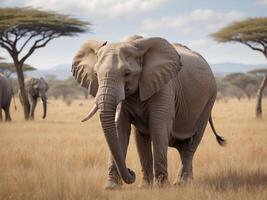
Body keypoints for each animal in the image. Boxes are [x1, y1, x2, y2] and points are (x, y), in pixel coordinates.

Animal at [71, 35, 226, 189]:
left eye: (127, 73)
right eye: (96, 74)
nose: (131, 171)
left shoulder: (163, 86)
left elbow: (158, 128)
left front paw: (161, 187)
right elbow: (121, 130)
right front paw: (115, 188)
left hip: (209, 100)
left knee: (191, 143)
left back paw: (180, 183)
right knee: (176, 144)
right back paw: (186, 182)